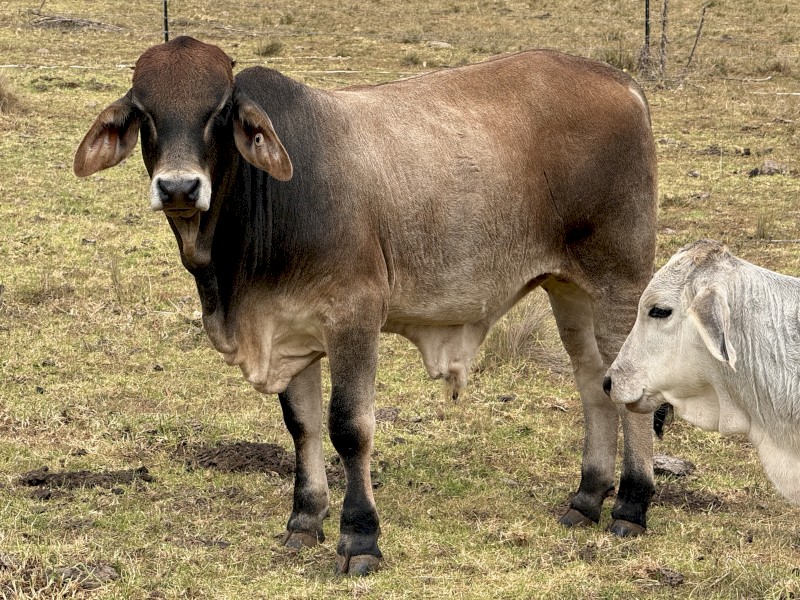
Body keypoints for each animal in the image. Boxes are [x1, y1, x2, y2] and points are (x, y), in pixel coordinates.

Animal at [74, 36, 658, 574]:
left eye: (218, 111)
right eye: (145, 111)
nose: (179, 187)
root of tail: (622, 82)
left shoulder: (353, 317)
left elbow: (349, 427)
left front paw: (359, 538)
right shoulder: (292, 331)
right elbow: (302, 425)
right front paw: (304, 520)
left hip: (620, 283)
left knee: (630, 387)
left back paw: (631, 505)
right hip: (570, 290)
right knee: (593, 383)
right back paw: (587, 498)